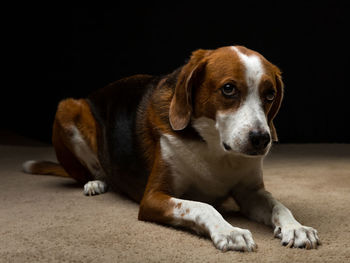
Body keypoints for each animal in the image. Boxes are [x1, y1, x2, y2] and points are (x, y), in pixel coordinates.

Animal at [23, 46, 322, 253]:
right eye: (228, 89)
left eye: (269, 95)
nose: (261, 139)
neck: (215, 149)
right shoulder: (153, 198)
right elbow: (203, 206)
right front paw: (229, 230)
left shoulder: (250, 193)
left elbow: (278, 205)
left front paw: (296, 227)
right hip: (69, 107)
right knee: (89, 171)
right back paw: (96, 182)